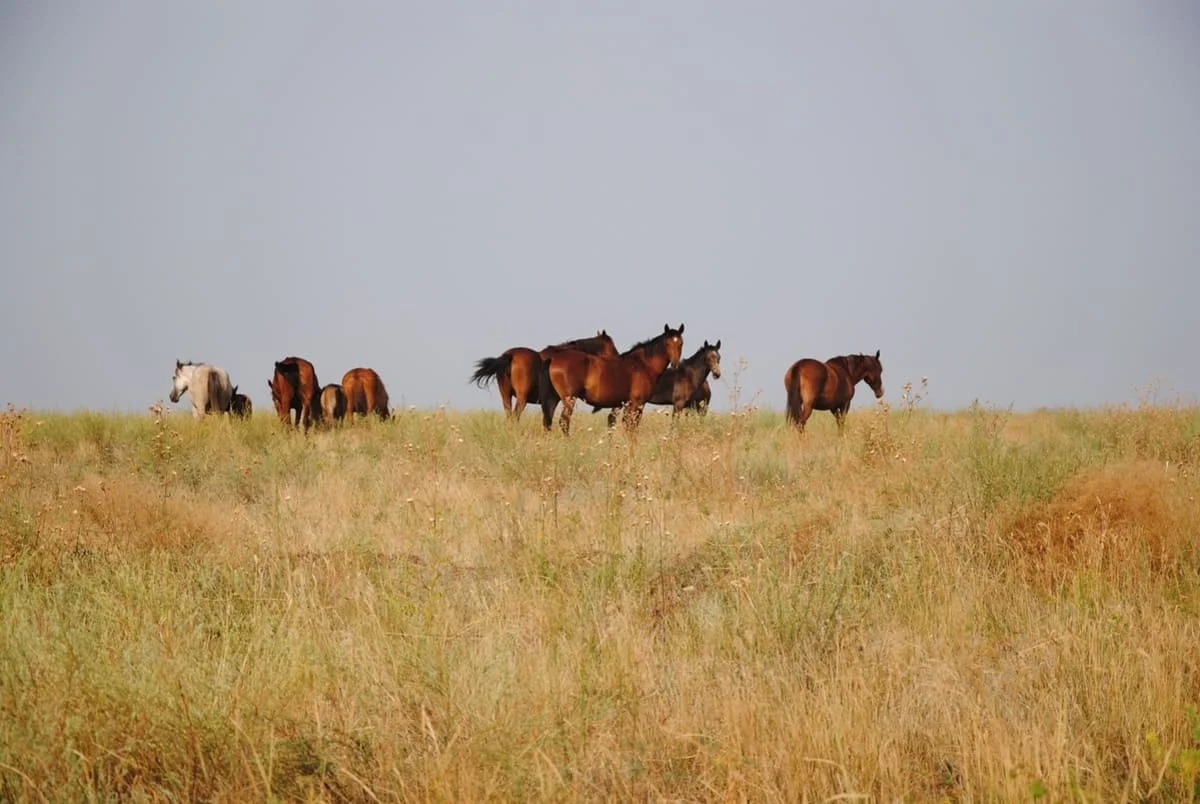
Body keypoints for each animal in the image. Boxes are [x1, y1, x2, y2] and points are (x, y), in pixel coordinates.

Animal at [470, 331, 619, 424]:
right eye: (612, 347)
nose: (618, 359)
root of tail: (510, 355)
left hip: (505, 396)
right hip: (521, 399)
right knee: (515, 417)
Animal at [542, 321, 686, 436]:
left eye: (681, 343)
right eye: (667, 343)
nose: (675, 364)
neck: (643, 364)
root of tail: (553, 358)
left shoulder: (627, 404)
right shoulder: (637, 404)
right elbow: (632, 428)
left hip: (554, 399)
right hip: (569, 399)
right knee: (563, 422)